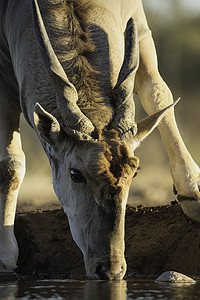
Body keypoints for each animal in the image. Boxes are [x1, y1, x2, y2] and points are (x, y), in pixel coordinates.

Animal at [0, 0, 200, 280]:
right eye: (75, 174)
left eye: (135, 172)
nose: (111, 268)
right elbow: (11, 164)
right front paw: (5, 256)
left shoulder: (140, 27)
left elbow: (158, 92)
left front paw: (194, 193)